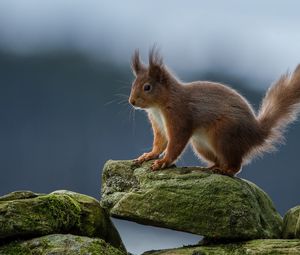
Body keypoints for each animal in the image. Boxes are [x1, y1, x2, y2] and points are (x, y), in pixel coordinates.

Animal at [127, 47, 300, 176]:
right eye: (133, 84)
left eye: (147, 87)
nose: (132, 102)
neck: (159, 106)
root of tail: (255, 134)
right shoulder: (159, 125)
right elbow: (160, 143)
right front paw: (149, 155)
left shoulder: (179, 116)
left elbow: (176, 143)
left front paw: (163, 162)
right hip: (201, 145)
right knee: (220, 160)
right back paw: (212, 167)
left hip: (223, 135)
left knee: (236, 165)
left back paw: (226, 171)